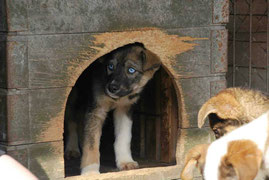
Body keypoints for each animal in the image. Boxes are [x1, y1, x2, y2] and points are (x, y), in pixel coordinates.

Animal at [63, 42, 160, 174]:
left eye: (131, 70)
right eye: (110, 66)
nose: (112, 88)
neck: (117, 99)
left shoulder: (124, 109)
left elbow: (124, 137)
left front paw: (125, 161)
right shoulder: (96, 110)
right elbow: (91, 144)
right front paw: (90, 170)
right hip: (74, 95)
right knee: (71, 121)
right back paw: (72, 148)